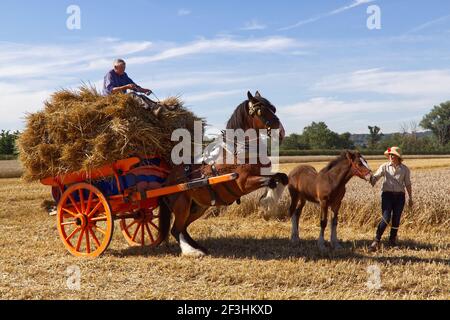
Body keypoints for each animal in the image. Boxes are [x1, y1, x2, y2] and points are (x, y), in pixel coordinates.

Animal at [156, 91, 286, 256]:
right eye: (260, 111)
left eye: (273, 108)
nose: (281, 132)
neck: (239, 151)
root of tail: (166, 182)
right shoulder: (243, 183)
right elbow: (271, 181)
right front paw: (267, 203)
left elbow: (282, 177)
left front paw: (269, 203)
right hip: (182, 205)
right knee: (176, 230)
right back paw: (192, 252)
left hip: (198, 207)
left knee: (183, 228)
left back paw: (199, 248)